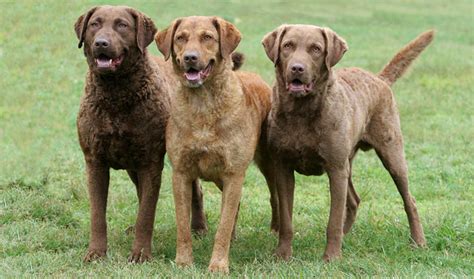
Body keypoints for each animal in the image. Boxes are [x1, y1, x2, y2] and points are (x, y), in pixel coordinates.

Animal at [75, 6, 206, 264]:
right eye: (95, 24)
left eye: (122, 25)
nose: (101, 43)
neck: (115, 96)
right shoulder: (94, 161)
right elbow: (98, 214)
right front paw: (95, 253)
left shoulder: (151, 163)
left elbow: (147, 213)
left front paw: (141, 254)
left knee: (195, 191)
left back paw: (198, 227)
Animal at [154, 17, 276, 274]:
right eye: (180, 38)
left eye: (208, 37)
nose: (190, 57)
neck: (203, 105)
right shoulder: (181, 172)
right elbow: (183, 225)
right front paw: (183, 262)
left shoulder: (233, 173)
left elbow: (223, 225)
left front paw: (218, 265)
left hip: (268, 163)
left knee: (275, 196)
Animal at [262, 24, 434, 262]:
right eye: (287, 46)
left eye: (316, 49)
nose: (297, 68)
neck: (301, 113)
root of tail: (379, 79)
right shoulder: (283, 167)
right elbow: (286, 219)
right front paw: (282, 255)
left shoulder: (335, 168)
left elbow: (333, 220)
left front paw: (332, 257)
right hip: (348, 163)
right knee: (354, 200)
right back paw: (346, 236)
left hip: (391, 155)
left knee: (410, 200)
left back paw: (418, 241)